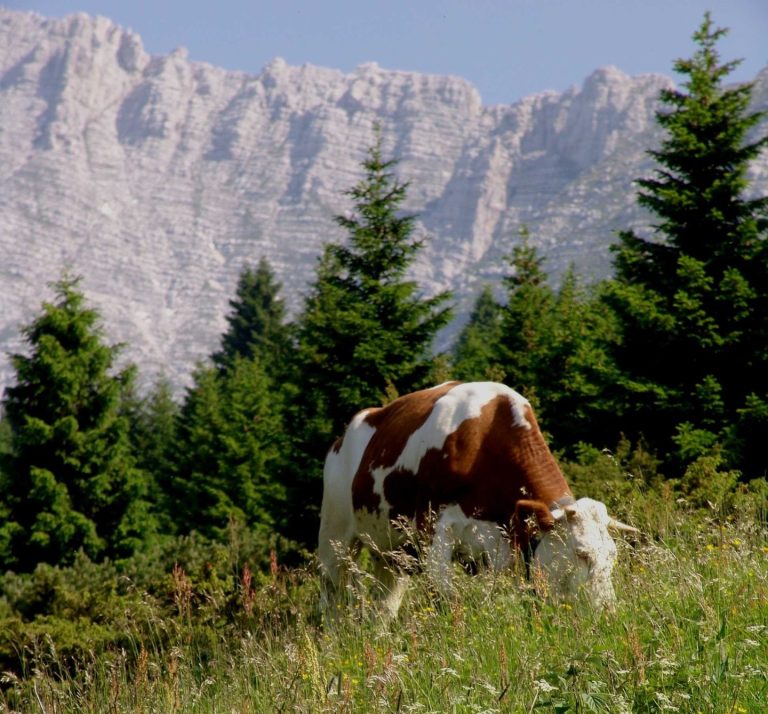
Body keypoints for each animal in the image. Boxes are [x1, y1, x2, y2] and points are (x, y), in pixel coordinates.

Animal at [318, 378, 636, 616]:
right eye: (582, 554)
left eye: (613, 556)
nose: (608, 611)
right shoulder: (433, 532)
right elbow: (448, 599)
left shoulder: (498, 548)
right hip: (335, 538)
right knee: (332, 599)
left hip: (393, 556)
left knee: (384, 607)